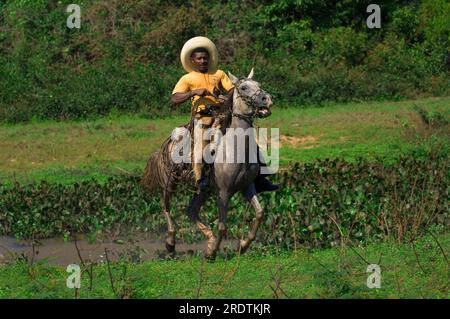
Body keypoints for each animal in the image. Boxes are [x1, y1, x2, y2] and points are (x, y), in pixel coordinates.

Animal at [142, 69, 272, 260]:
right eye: (243, 87)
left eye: (259, 84)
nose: (267, 99)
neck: (235, 149)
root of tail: (164, 147)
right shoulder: (223, 192)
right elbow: (223, 226)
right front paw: (212, 253)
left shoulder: (247, 186)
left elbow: (260, 214)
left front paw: (242, 246)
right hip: (169, 184)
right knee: (166, 207)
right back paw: (171, 244)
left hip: (203, 190)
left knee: (191, 210)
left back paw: (208, 240)